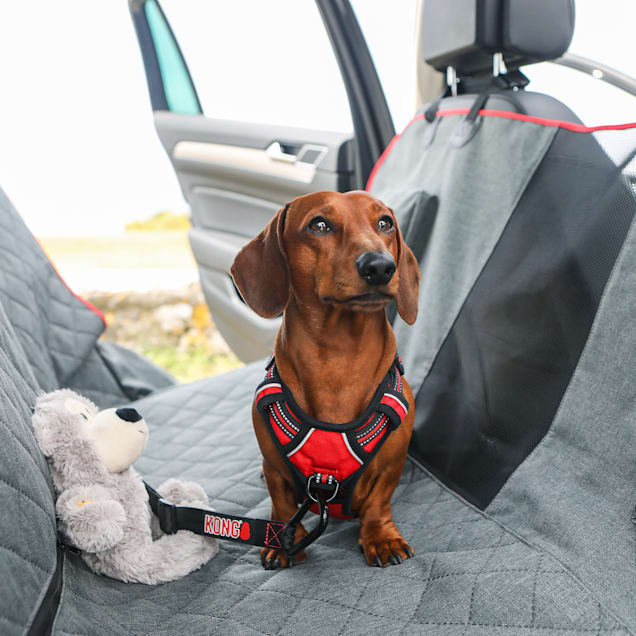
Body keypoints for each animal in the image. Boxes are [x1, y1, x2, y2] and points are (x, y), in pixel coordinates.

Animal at [231, 189, 420, 568]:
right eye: (319, 225)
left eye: (385, 223)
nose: (380, 267)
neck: (338, 356)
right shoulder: (276, 470)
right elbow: (281, 502)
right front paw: (282, 540)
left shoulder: (390, 465)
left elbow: (379, 501)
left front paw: (381, 537)